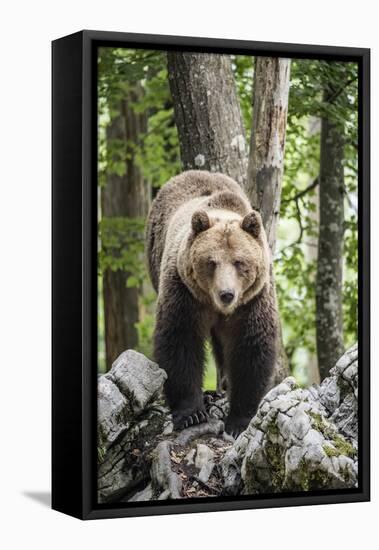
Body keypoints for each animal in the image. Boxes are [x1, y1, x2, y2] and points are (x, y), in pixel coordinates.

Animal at [147, 170, 278, 438]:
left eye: (240, 262)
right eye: (211, 262)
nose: (226, 294)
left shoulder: (252, 301)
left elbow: (251, 348)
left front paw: (239, 421)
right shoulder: (184, 293)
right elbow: (180, 339)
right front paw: (191, 414)